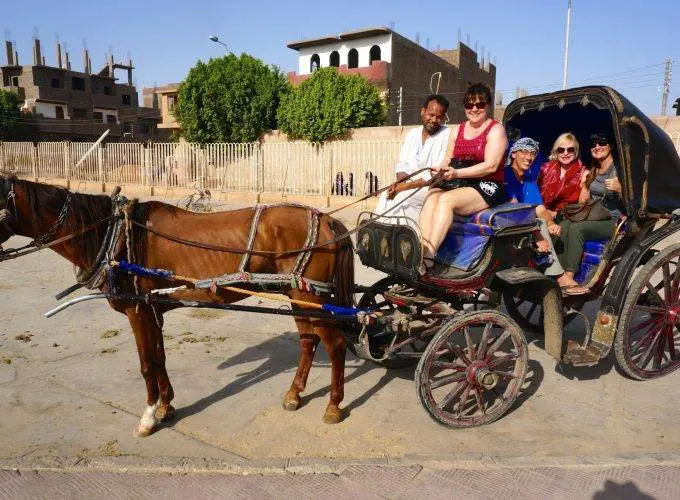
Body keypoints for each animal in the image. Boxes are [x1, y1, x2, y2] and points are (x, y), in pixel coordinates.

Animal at [0, 175, 358, 434]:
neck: (116, 235)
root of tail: (325, 220)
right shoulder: (152, 308)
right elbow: (159, 358)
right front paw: (165, 406)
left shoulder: (138, 310)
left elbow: (146, 363)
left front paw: (148, 416)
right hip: (298, 296)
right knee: (309, 342)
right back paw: (294, 394)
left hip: (310, 297)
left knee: (336, 344)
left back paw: (333, 406)